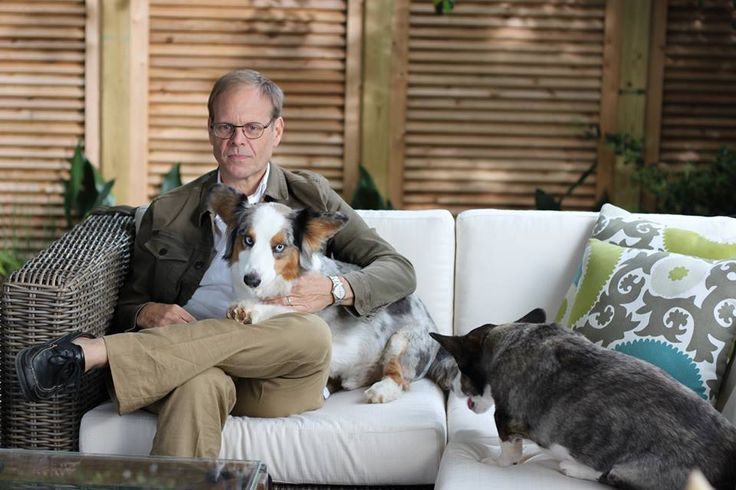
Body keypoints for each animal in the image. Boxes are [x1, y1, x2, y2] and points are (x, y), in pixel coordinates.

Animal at [207, 183, 458, 402]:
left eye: (279, 247)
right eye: (248, 240)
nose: (251, 280)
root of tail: (436, 333)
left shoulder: (308, 307)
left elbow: (283, 307)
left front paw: (249, 310)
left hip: (402, 340)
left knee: (398, 377)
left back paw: (380, 392)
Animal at [428, 310, 736, 490]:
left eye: (462, 368)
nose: (453, 386)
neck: (505, 339)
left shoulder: (505, 419)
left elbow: (508, 453)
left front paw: (495, 463)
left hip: (637, 472)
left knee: (609, 476)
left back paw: (574, 468)